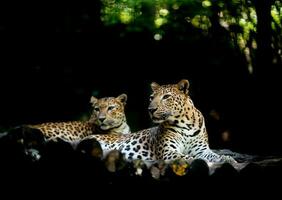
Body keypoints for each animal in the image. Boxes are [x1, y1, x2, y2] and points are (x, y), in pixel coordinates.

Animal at [85, 79, 239, 170]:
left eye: (166, 97)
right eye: (151, 98)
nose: (151, 109)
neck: (187, 124)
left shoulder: (202, 150)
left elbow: (214, 156)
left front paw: (228, 159)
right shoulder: (168, 152)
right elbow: (189, 158)